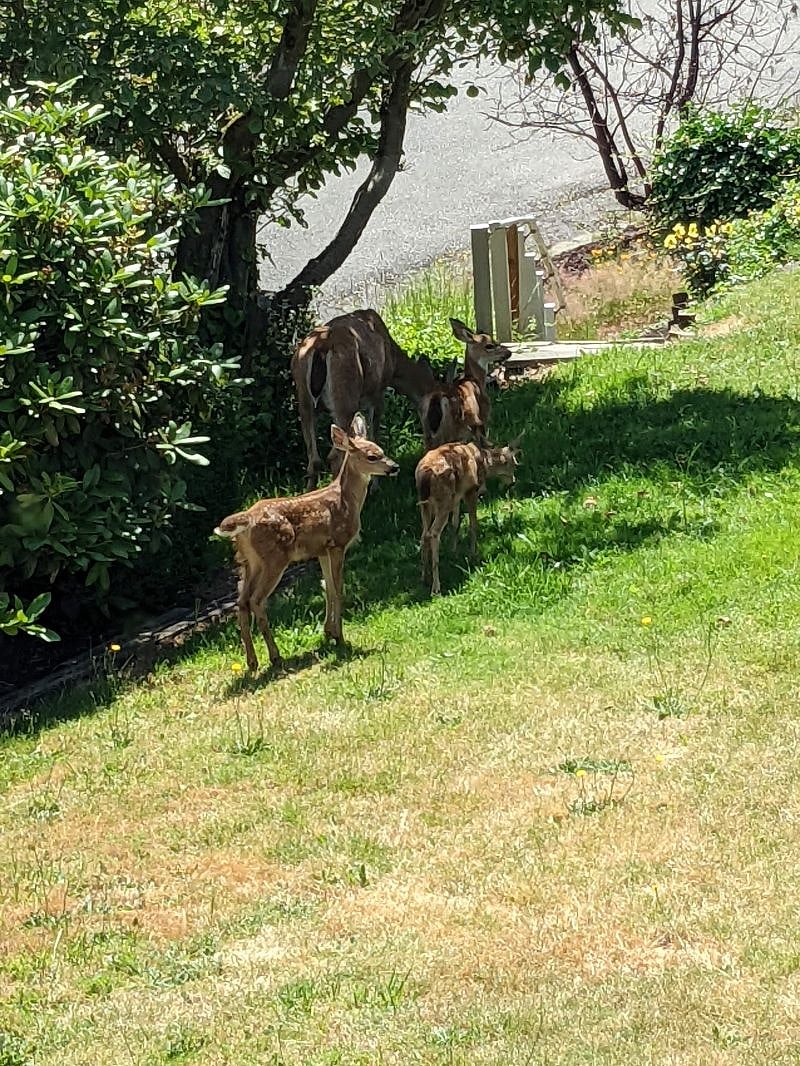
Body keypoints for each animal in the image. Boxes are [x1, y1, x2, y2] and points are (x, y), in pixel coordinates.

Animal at [214, 414, 399, 673]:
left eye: (382, 450)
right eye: (372, 456)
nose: (394, 467)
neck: (347, 500)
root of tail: (246, 520)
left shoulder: (321, 550)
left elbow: (327, 587)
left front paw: (329, 633)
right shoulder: (337, 544)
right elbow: (339, 588)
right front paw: (340, 637)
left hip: (249, 562)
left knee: (241, 602)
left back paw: (252, 662)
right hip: (274, 559)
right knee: (256, 600)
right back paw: (275, 657)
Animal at [291, 309, 439, 490]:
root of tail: (321, 345)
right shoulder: (377, 394)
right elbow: (373, 435)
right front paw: (375, 486)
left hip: (304, 398)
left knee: (314, 459)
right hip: (344, 398)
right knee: (335, 455)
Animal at [416, 437, 522, 596]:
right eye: (513, 464)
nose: (513, 482)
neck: (483, 461)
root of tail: (425, 475)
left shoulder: (457, 496)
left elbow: (455, 524)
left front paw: (454, 552)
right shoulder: (471, 490)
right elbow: (473, 524)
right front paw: (473, 554)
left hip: (426, 504)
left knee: (424, 534)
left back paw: (424, 577)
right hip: (443, 499)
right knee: (433, 533)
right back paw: (436, 587)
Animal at [419, 318, 512, 451]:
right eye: (489, 345)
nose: (508, 353)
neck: (474, 379)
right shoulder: (481, 416)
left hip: (426, 431)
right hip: (454, 429)